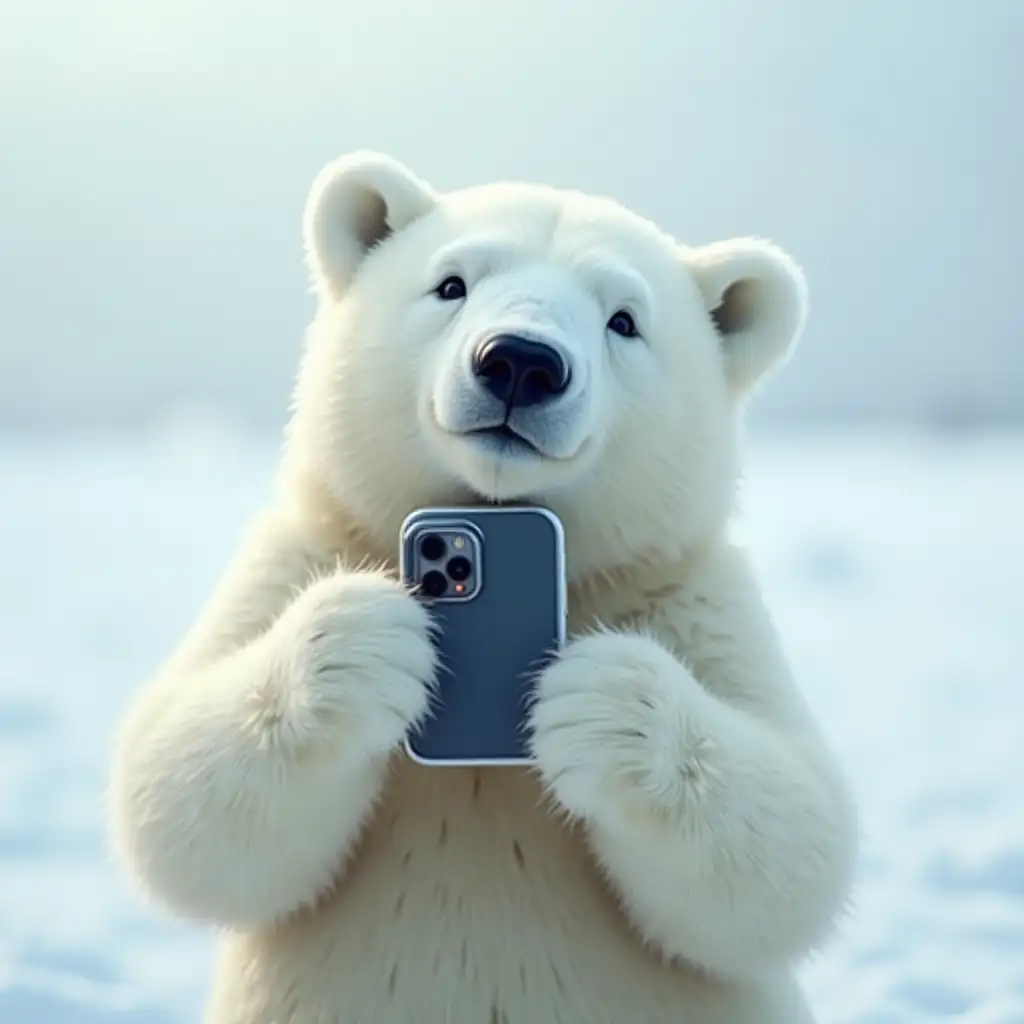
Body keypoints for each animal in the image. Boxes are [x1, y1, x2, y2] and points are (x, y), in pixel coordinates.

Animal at [110, 153, 856, 1024]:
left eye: (624, 320)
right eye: (452, 283)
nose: (521, 361)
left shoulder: (688, 596)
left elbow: (797, 844)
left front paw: (601, 701)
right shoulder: (303, 549)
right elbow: (172, 794)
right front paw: (366, 645)